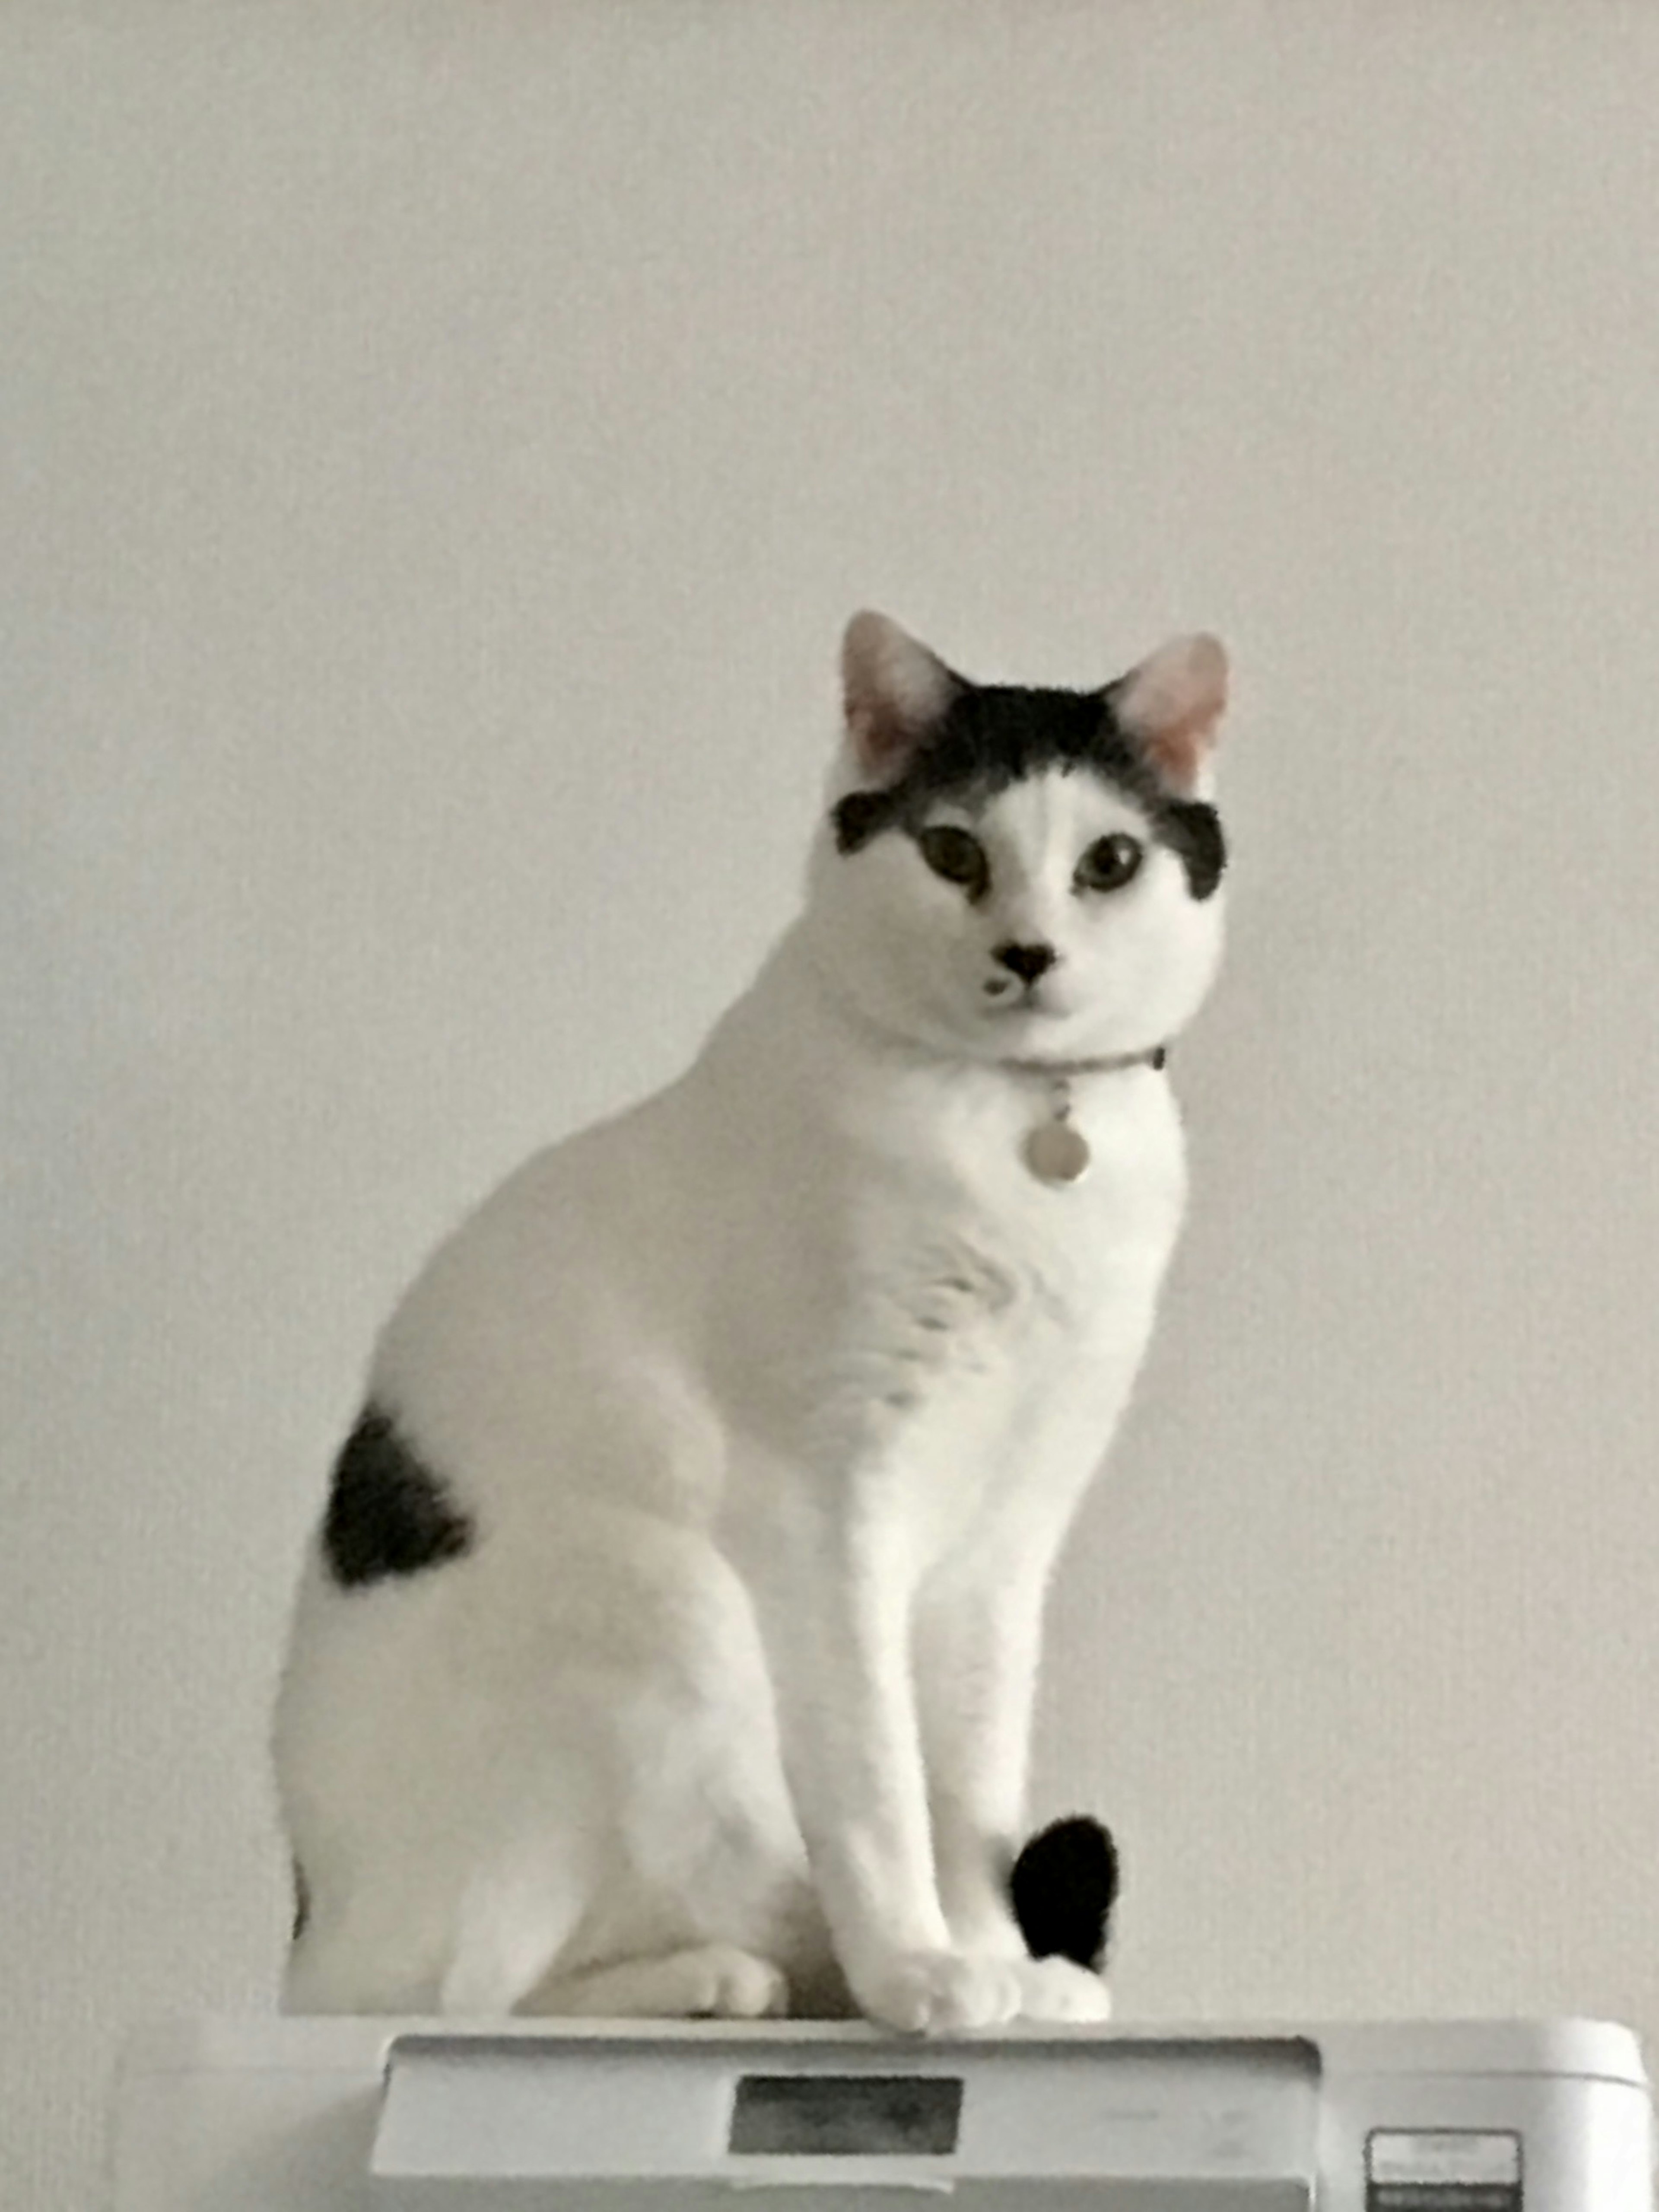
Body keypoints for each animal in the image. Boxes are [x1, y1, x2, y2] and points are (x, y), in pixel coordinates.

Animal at [276, 615, 1239, 2026]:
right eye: (954, 852)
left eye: (1107, 861)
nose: (1027, 950)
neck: (1014, 1141)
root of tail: (304, 1931)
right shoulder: (824, 1507)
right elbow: (882, 1786)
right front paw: (918, 1972)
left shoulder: (1005, 1543)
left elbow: (972, 1786)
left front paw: (998, 1965)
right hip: (673, 1602)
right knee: (454, 1992)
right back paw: (723, 1979)